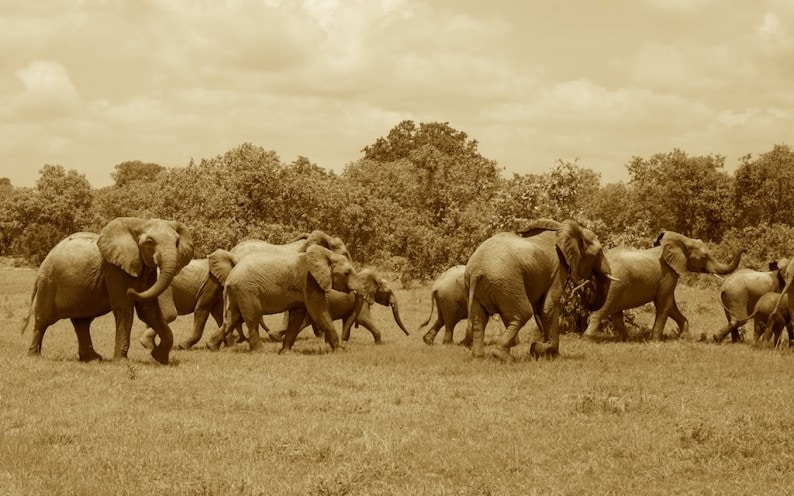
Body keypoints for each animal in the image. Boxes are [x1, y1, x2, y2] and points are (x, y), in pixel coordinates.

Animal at [19, 217, 193, 364]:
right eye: (150, 241)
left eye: (177, 241)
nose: (131, 290)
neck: (139, 223)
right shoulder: (115, 271)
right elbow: (124, 309)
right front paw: (123, 363)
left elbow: (148, 310)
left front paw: (160, 358)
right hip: (48, 282)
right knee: (43, 320)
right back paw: (34, 356)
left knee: (82, 322)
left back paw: (93, 359)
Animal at [207, 244, 374, 352]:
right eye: (347, 273)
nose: (345, 343)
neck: (326, 255)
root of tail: (230, 277)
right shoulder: (309, 282)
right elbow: (319, 313)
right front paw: (339, 351)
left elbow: (297, 316)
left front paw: (286, 352)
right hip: (247, 290)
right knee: (252, 317)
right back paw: (260, 351)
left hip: (239, 292)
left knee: (233, 318)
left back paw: (211, 347)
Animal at [464, 218, 612, 360]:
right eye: (599, 253)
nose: (582, 286)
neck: (562, 228)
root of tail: (476, 271)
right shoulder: (558, 270)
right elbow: (548, 307)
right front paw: (543, 351)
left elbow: (540, 309)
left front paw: (543, 352)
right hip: (506, 283)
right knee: (523, 313)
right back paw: (503, 357)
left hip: (479, 286)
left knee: (479, 320)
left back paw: (478, 357)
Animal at [580, 232, 744, 340]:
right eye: (704, 257)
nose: (744, 249)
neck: (682, 241)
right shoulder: (667, 273)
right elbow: (664, 304)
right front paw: (655, 341)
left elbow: (670, 305)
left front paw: (685, 337)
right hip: (613, 285)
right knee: (603, 310)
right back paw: (587, 339)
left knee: (616, 314)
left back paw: (626, 340)